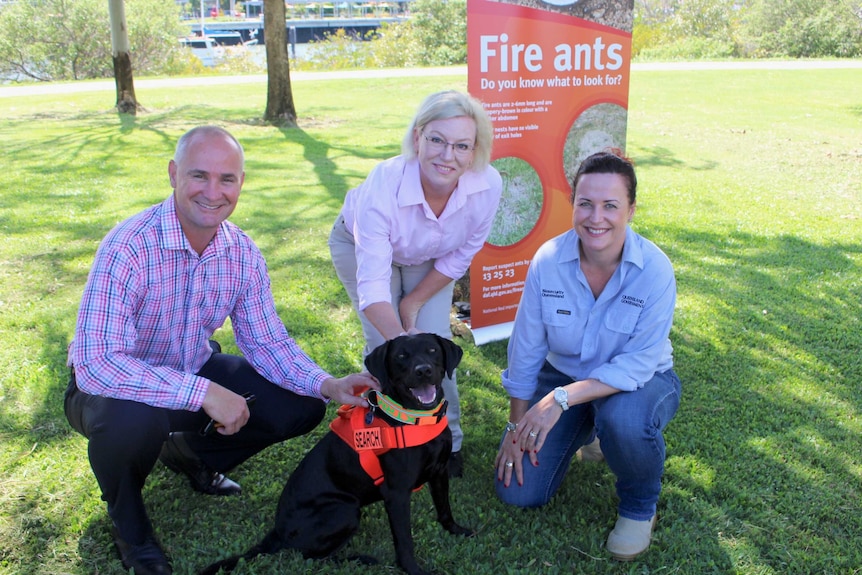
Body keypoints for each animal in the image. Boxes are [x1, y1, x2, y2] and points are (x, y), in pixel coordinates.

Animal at [198, 332, 472, 575]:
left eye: (432, 350)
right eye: (402, 356)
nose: (423, 370)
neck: (414, 420)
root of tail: (278, 530)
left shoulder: (439, 473)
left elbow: (444, 508)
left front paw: (455, 529)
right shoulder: (397, 494)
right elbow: (404, 541)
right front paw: (413, 570)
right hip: (345, 510)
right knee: (312, 556)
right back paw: (360, 559)